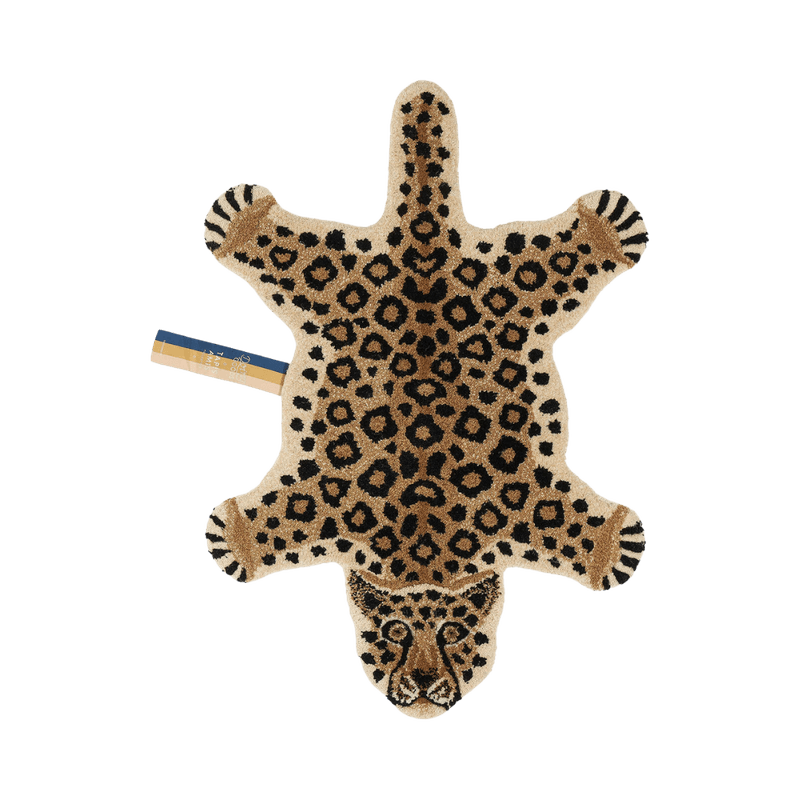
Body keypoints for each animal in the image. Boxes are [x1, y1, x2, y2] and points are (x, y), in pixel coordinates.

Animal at [199, 79, 649, 719]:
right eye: (393, 633)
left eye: (455, 633)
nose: (422, 686)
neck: (425, 547)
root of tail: (424, 243)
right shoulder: (327, 500)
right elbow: (282, 522)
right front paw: (238, 535)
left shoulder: (522, 504)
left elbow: (563, 524)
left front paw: (608, 545)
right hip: (334, 282)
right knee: (295, 253)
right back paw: (242, 220)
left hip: (516, 286)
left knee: (552, 258)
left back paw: (606, 228)